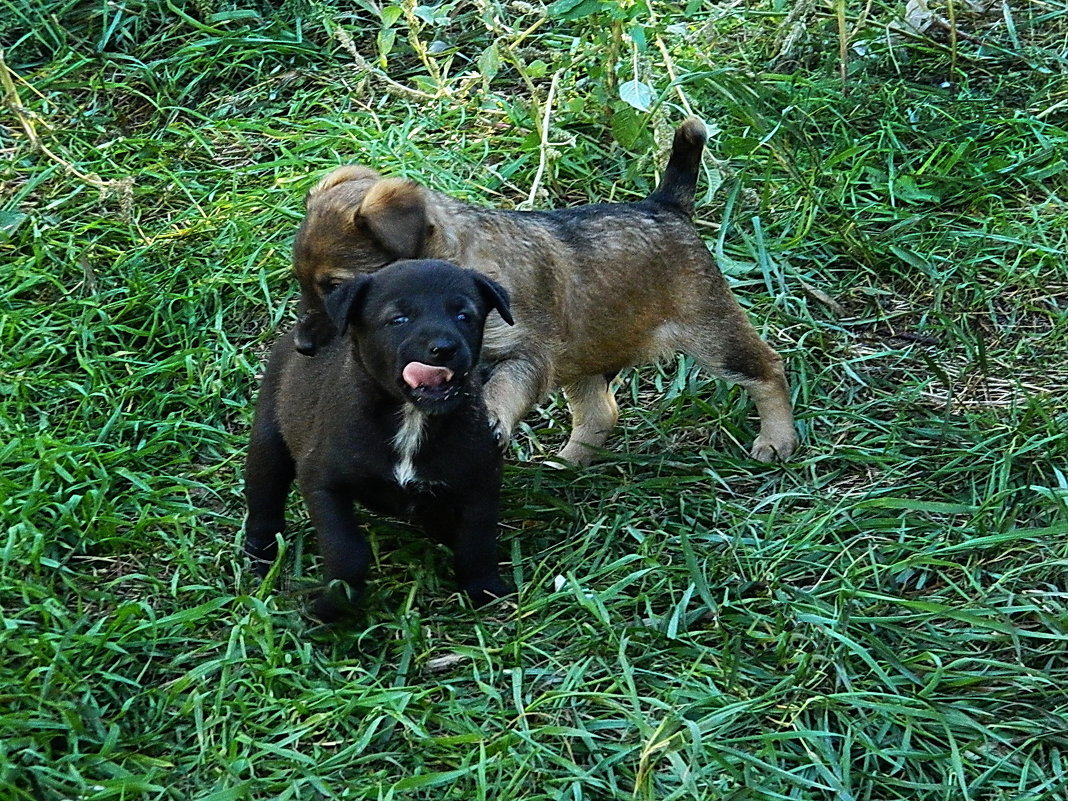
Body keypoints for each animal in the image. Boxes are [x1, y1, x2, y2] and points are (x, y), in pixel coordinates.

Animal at [246, 257, 521, 619]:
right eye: (398, 319)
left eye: (464, 316)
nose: (444, 348)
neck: (411, 418)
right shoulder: (322, 483)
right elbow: (347, 551)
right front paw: (330, 607)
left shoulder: (480, 483)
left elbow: (478, 542)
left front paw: (485, 589)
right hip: (268, 440)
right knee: (264, 498)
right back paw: (261, 557)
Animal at [288, 121, 798, 467]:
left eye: (336, 288)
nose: (302, 347)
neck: (456, 262)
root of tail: (666, 205)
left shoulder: (528, 353)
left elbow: (503, 387)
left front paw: (494, 415)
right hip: (587, 357)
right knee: (600, 413)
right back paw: (567, 463)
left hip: (713, 333)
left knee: (768, 369)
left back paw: (777, 439)